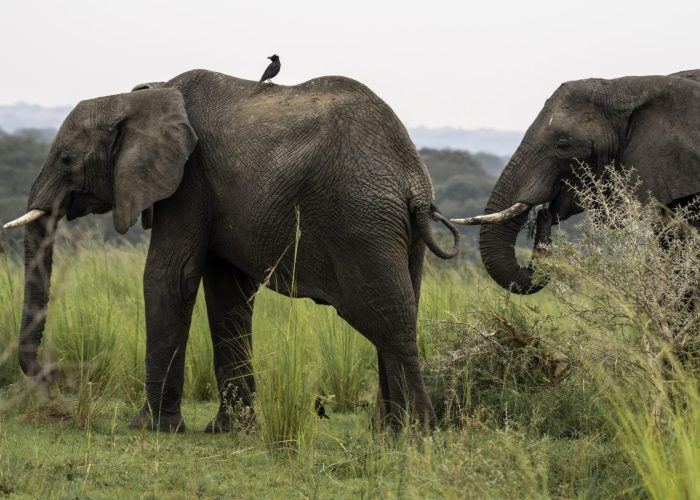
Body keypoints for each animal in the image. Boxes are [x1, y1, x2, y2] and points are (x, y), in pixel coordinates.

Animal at [4, 69, 460, 432]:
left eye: (66, 160)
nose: (59, 379)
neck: (140, 96)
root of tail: (414, 181)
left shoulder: (189, 179)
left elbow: (170, 276)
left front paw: (149, 428)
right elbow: (226, 291)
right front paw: (229, 430)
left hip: (360, 220)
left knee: (390, 319)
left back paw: (414, 434)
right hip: (398, 232)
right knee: (399, 311)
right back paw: (387, 432)